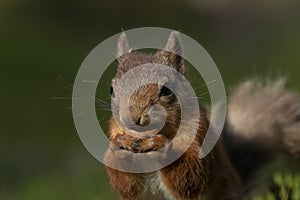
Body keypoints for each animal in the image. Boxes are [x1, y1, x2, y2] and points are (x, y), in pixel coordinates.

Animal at [103, 31, 300, 200]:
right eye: (111, 90)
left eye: (166, 90)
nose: (132, 119)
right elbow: (126, 185)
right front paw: (119, 146)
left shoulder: (199, 133)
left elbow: (193, 176)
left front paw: (159, 145)